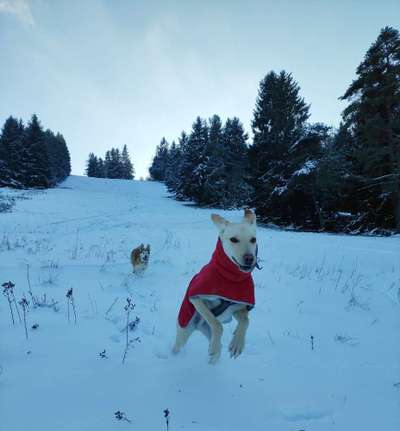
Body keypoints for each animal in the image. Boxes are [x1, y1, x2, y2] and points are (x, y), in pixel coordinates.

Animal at [173, 209, 258, 364]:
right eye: (233, 239)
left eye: (253, 239)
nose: (249, 258)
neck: (230, 278)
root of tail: (198, 327)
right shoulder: (196, 298)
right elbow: (217, 324)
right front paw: (219, 345)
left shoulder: (237, 307)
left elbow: (246, 321)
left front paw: (237, 343)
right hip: (184, 330)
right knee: (178, 345)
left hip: (206, 332)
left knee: (216, 346)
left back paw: (215, 357)